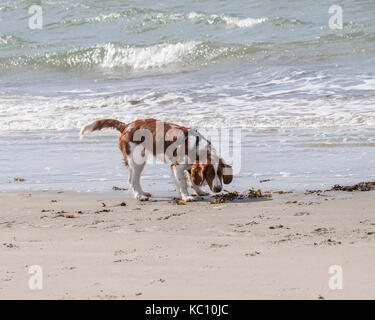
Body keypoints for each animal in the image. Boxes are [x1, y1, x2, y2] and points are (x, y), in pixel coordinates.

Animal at [81, 119, 234, 201]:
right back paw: (139, 196)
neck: (198, 147)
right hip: (136, 160)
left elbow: (191, 179)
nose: (218, 189)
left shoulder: (188, 167)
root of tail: (127, 126)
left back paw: (143, 193)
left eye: (220, 173)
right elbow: (183, 183)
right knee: (132, 180)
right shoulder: (177, 166)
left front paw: (199, 191)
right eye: (209, 174)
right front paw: (186, 197)